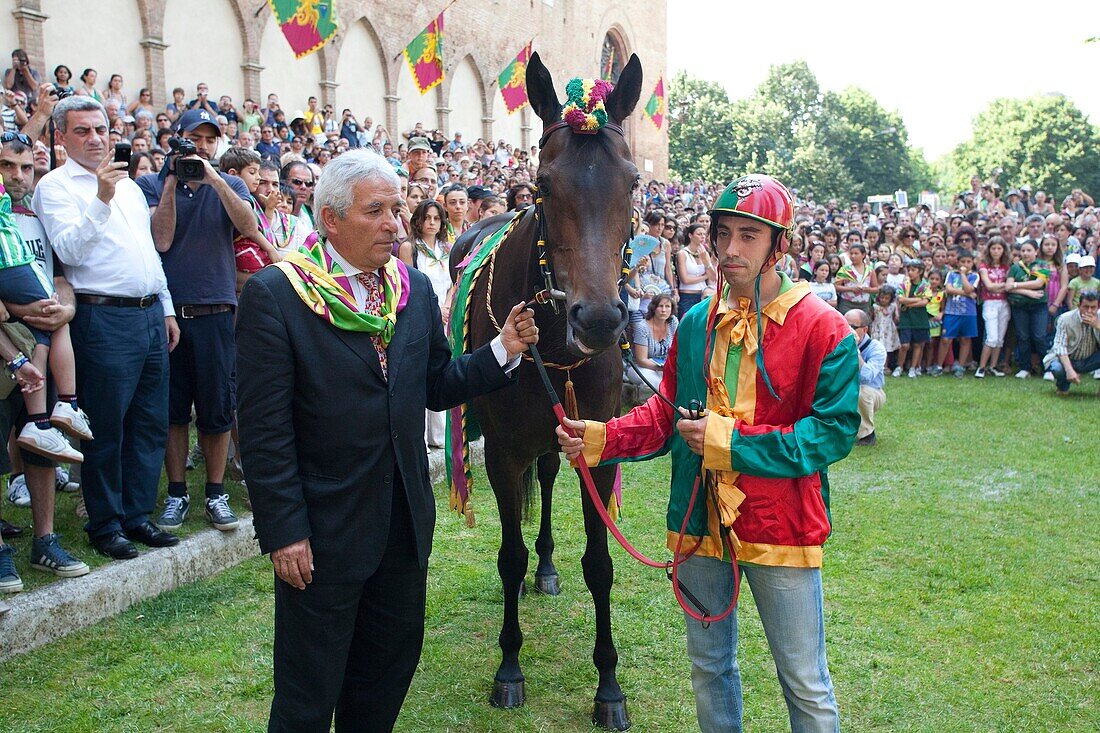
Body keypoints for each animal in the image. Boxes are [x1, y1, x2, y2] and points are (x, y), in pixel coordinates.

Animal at [448, 51, 642, 726]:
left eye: (631, 184)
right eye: (545, 186)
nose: (600, 319)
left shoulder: (598, 444)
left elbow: (601, 563)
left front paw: (609, 686)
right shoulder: (504, 452)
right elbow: (507, 559)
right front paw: (509, 670)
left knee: (554, 475)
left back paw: (550, 564)